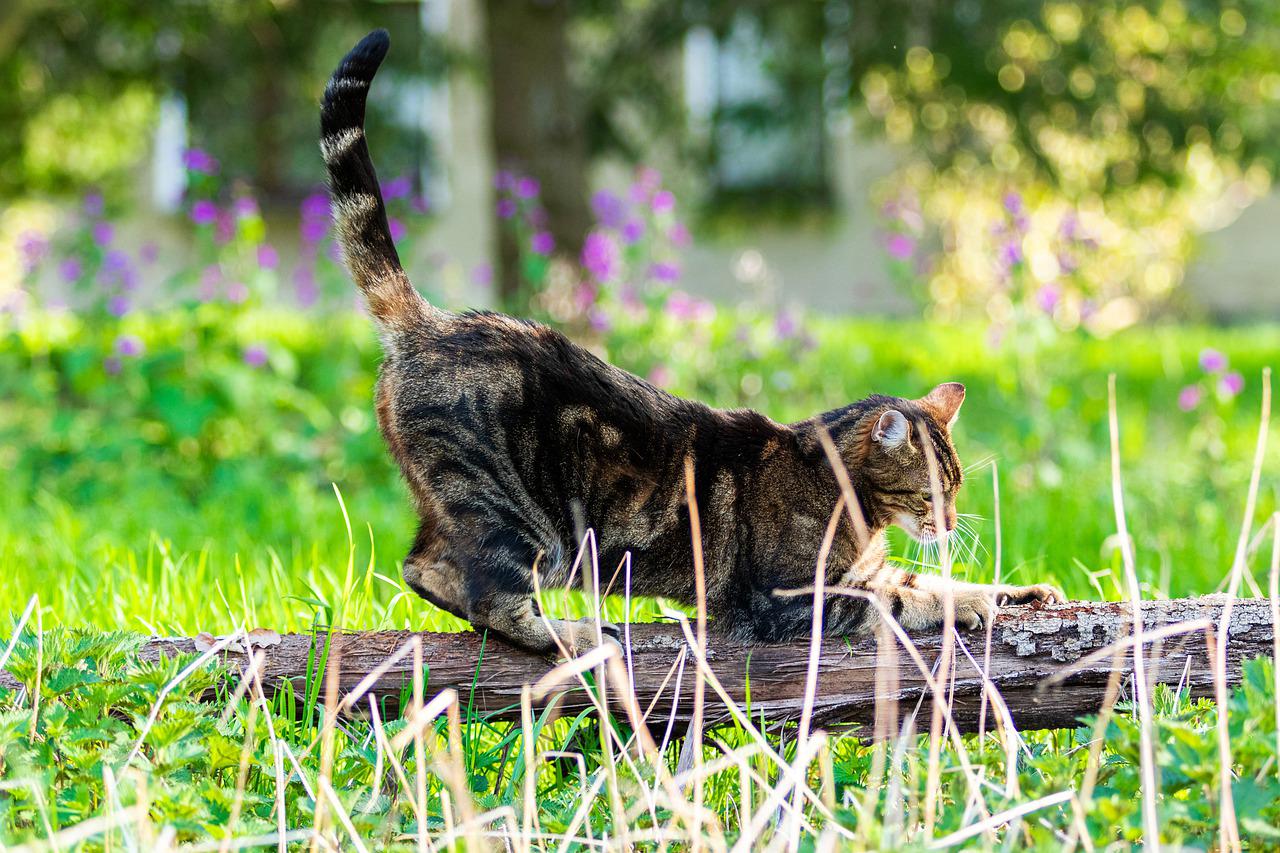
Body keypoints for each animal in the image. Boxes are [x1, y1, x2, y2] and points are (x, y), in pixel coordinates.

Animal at [320, 28, 1059, 650]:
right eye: (934, 492)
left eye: (956, 488)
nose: (952, 522)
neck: (847, 496)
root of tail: (430, 320)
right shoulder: (786, 600)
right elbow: (904, 598)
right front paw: (970, 603)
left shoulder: (864, 573)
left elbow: (925, 579)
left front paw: (1018, 590)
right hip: (515, 516)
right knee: (460, 582)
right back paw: (569, 634)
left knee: (425, 566)